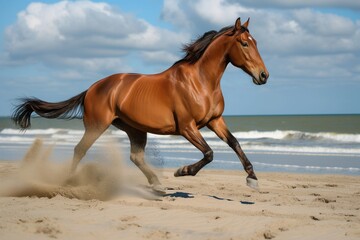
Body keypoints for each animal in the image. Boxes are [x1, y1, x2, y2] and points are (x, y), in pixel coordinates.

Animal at [12, 17, 268, 193]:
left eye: (256, 42)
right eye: (244, 43)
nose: (264, 75)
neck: (200, 82)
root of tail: (92, 88)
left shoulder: (215, 121)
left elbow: (234, 143)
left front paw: (252, 178)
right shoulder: (187, 127)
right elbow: (209, 153)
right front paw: (182, 171)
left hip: (134, 128)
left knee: (135, 157)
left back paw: (157, 184)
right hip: (97, 126)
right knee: (80, 150)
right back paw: (69, 181)